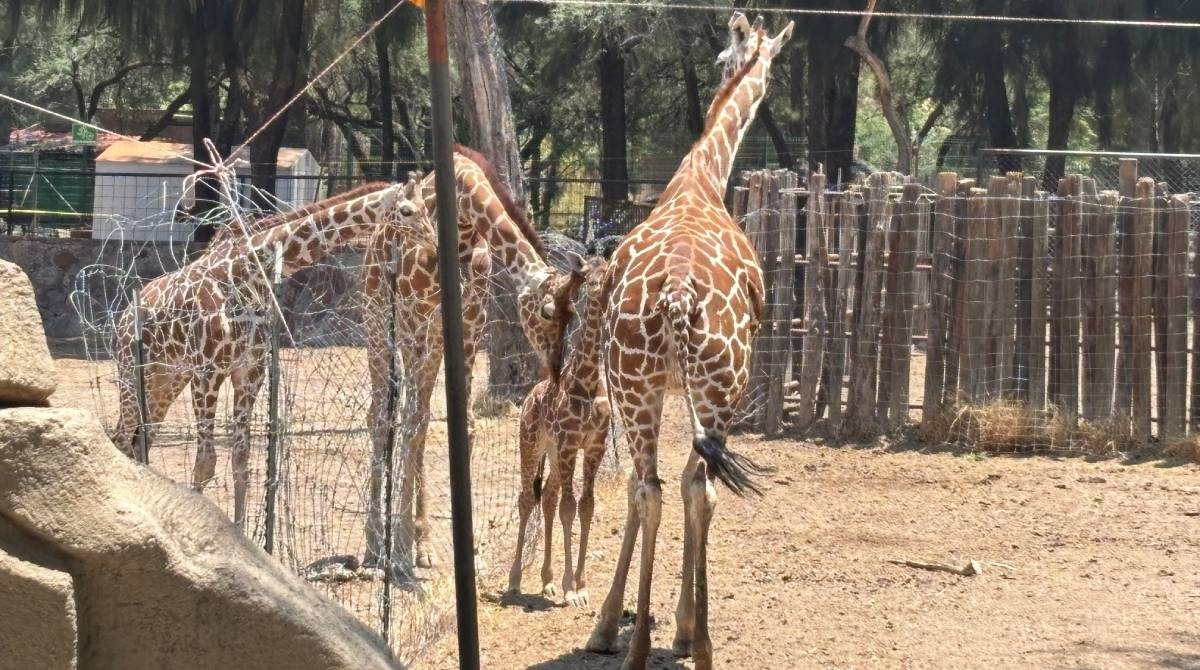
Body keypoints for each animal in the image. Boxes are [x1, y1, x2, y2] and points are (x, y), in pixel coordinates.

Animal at [111, 177, 429, 529]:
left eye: (427, 209)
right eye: (407, 210)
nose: (433, 242)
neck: (248, 272)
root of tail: (125, 315)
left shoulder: (250, 371)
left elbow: (241, 459)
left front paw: (240, 531)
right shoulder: (209, 371)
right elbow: (206, 461)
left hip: (166, 380)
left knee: (139, 440)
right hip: (131, 371)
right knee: (122, 439)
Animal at [360, 147, 585, 574]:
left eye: (571, 318)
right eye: (546, 313)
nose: (555, 369)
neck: (463, 217)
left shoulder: (470, 317)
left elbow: (460, 425)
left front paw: (466, 552)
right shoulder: (416, 314)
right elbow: (411, 421)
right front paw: (403, 548)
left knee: (416, 413)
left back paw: (419, 543)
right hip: (381, 316)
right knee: (384, 416)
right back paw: (377, 546)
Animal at [507, 256, 610, 607]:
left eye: (607, 271)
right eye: (586, 275)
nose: (597, 290)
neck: (588, 382)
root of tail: (529, 396)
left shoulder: (594, 446)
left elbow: (586, 506)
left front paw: (581, 586)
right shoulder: (568, 444)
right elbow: (569, 507)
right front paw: (570, 589)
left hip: (551, 452)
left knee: (548, 497)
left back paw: (547, 582)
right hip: (532, 443)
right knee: (527, 498)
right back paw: (514, 581)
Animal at [584, 14, 792, 669]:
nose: (756, 78)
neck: (700, 177)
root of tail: (677, 293)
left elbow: (655, 486)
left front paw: (621, 626)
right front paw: (661, 625)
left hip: (649, 388)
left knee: (661, 488)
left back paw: (651, 646)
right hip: (711, 388)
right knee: (692, 489)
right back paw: (692, 644)